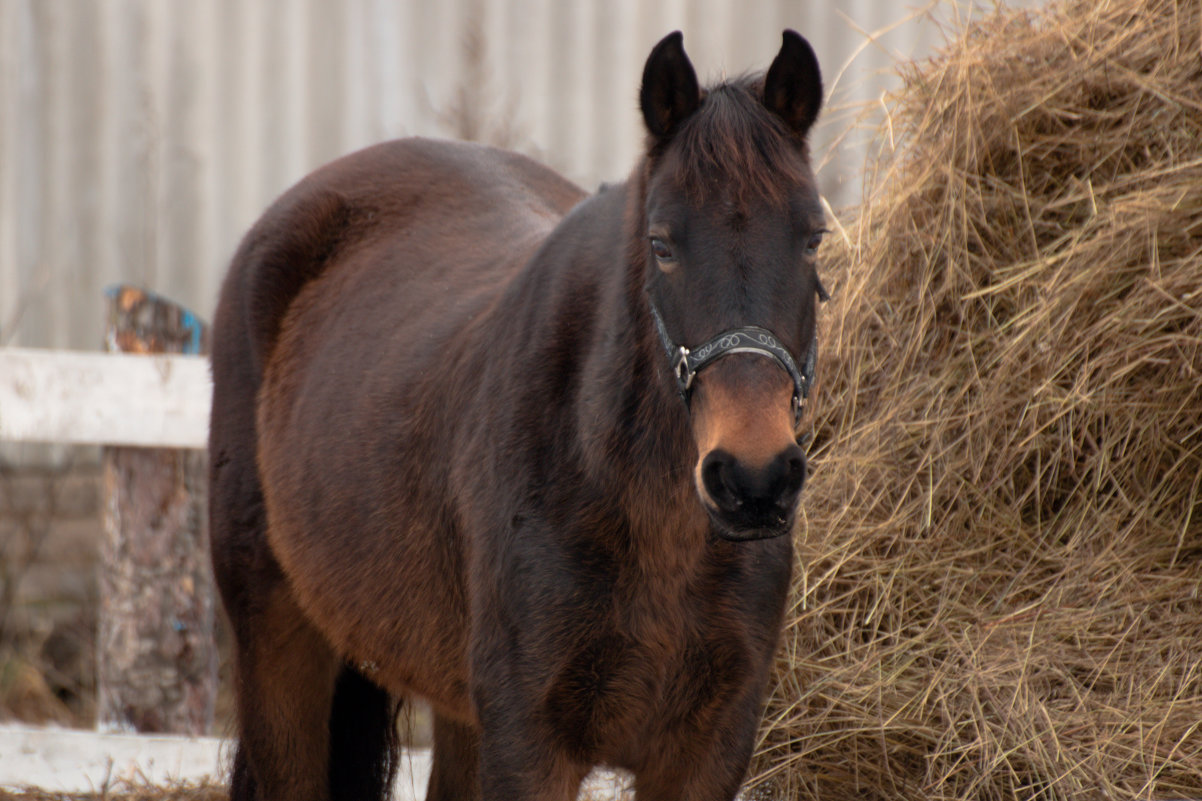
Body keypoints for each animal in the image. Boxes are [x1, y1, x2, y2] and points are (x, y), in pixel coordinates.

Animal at [209, 29, 826, 798]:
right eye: (661, 244)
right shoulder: (528, 741)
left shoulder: (708, 750)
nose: (754, 480)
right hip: (278, 643)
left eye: (813, 238)